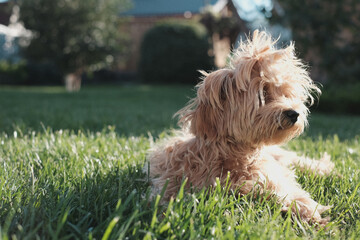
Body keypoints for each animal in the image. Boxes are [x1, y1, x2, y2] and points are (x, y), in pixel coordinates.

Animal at [148, 30, 334, 225]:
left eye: (285, 93)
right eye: (263, 94)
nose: (294, 113)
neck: (234, 155)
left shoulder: (271, 174)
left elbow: (287, 190)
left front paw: (307, 209)